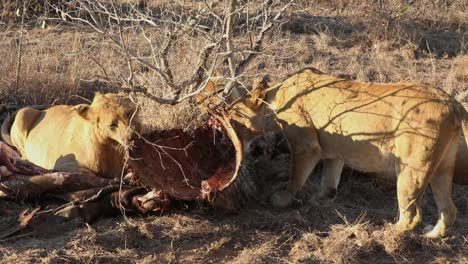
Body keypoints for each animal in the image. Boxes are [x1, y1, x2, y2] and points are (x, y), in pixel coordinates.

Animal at [198, 67, 468, 237]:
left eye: (232, 113)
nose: (219, 128)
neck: (275, 95)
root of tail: (454, 104)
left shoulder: (307, 146)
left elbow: (296, 175)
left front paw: (282, 199)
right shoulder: (334, 153)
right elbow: (329, 181)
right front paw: (320, 199)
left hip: (411, 169)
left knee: (412, 213)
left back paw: (392, 231)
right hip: (441, 168)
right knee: (449, 209)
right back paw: (433, 235)